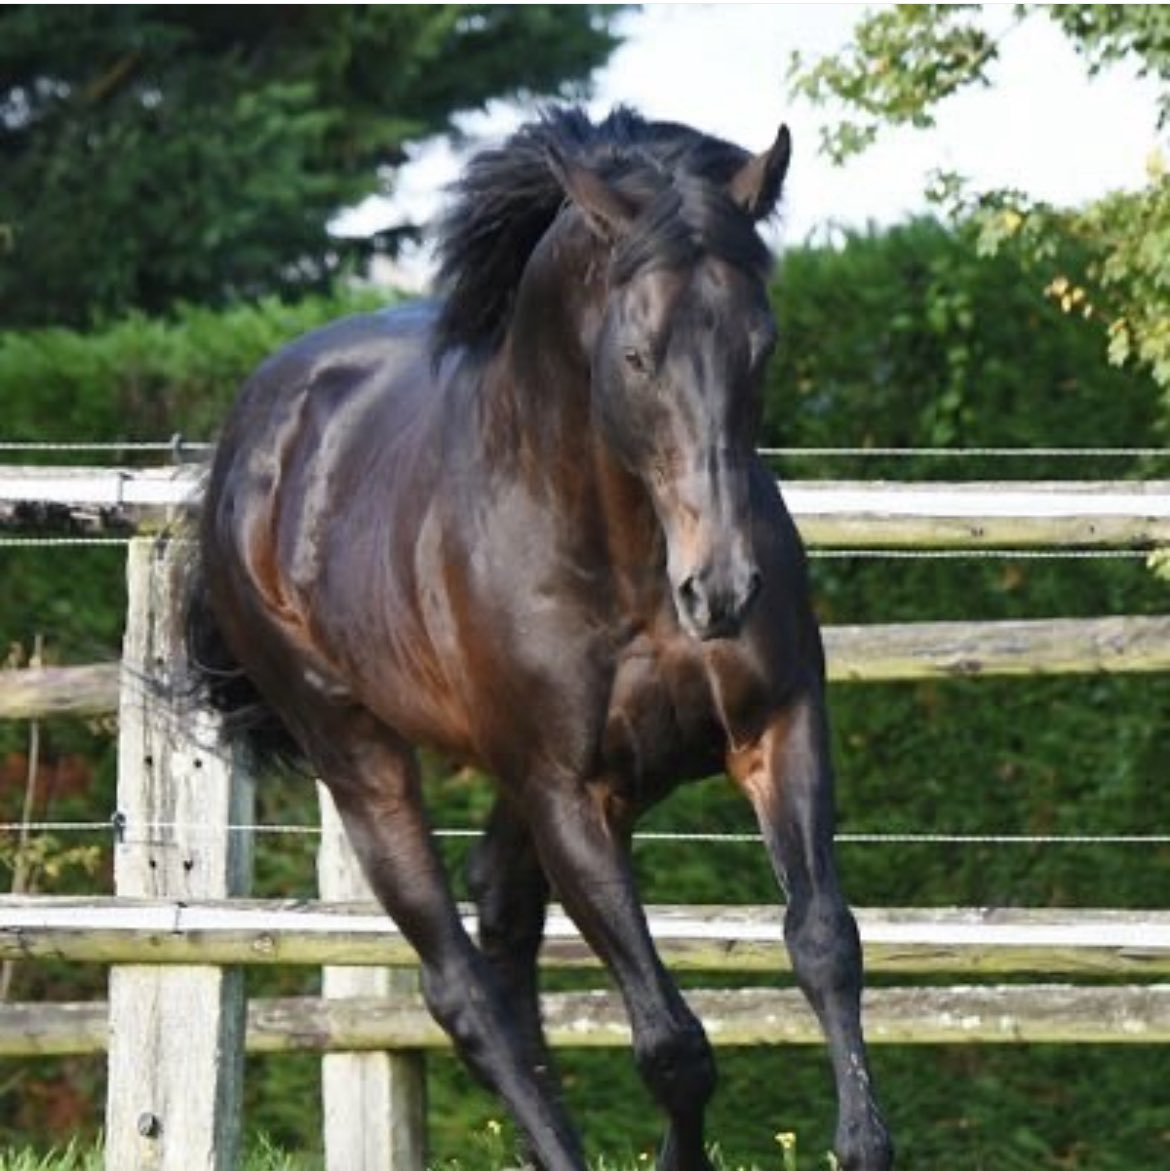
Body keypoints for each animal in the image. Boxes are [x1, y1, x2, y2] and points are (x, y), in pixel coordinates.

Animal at [187, 105, 892, 1171]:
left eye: (761, 344)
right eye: (636, 355)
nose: (721, 588)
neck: (627, 559)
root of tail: (250, 436)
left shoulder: (776, 727)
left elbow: (824, 943)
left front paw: (863, 1143)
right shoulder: (571, 792)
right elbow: (672, 1043)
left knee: (506, 929)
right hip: (357, 754)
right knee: (464, 989)